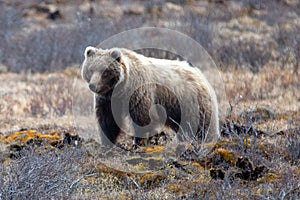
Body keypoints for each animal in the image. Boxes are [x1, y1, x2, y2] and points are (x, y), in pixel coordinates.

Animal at [81, 47, 219, 147]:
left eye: (104, 72)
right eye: (91, 69)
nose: (93, 86)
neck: (120, 89)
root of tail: (200, 75)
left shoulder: (138, 92)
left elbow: (143, 118)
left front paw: (140, 142)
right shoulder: (108, 100)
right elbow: (107, 120)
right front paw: (107, 142)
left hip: (192, 102)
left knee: (202, 126)